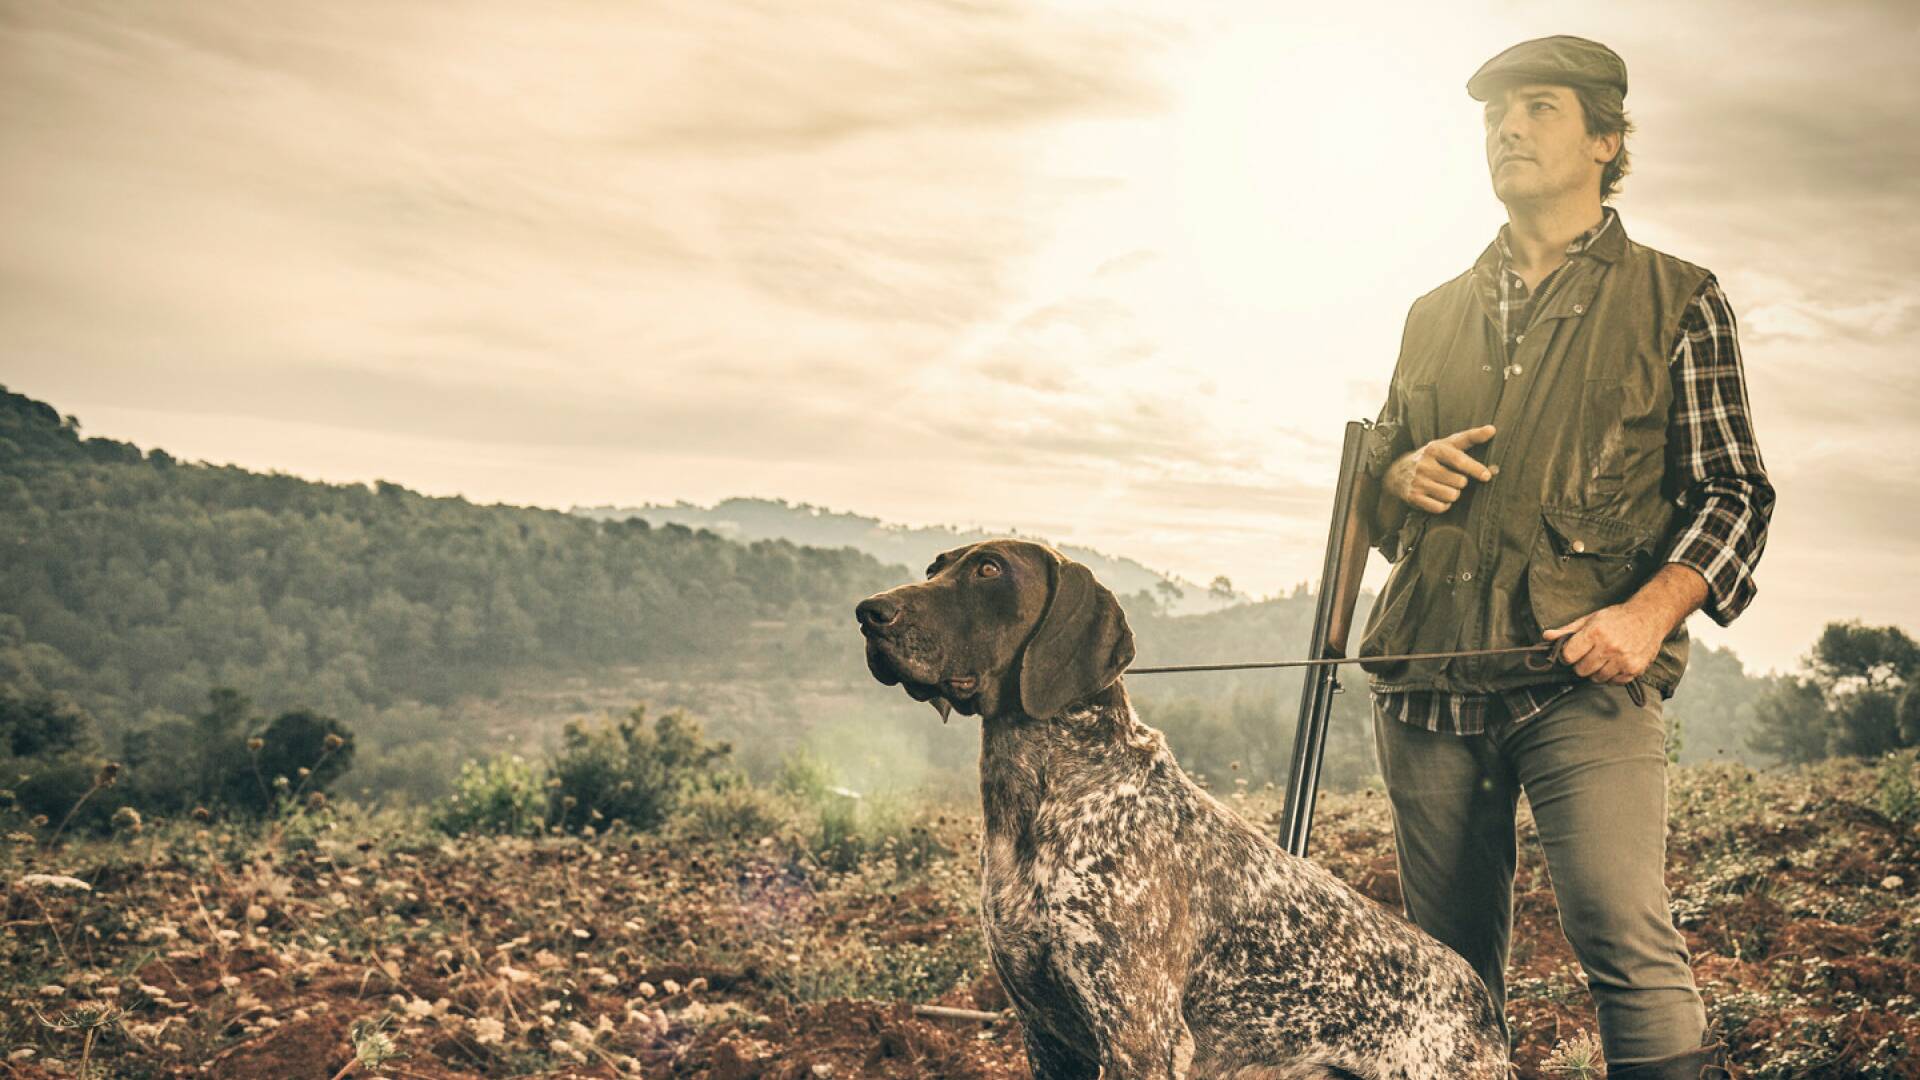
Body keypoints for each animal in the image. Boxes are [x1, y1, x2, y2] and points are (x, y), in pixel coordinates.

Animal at [860, 538, 1512, 1076]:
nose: (868, 613)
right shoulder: (1045, 1037)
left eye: (989, 569)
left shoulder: (1140, 1037)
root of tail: (1483, 1001)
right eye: (934, 569)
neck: (1048, 795)